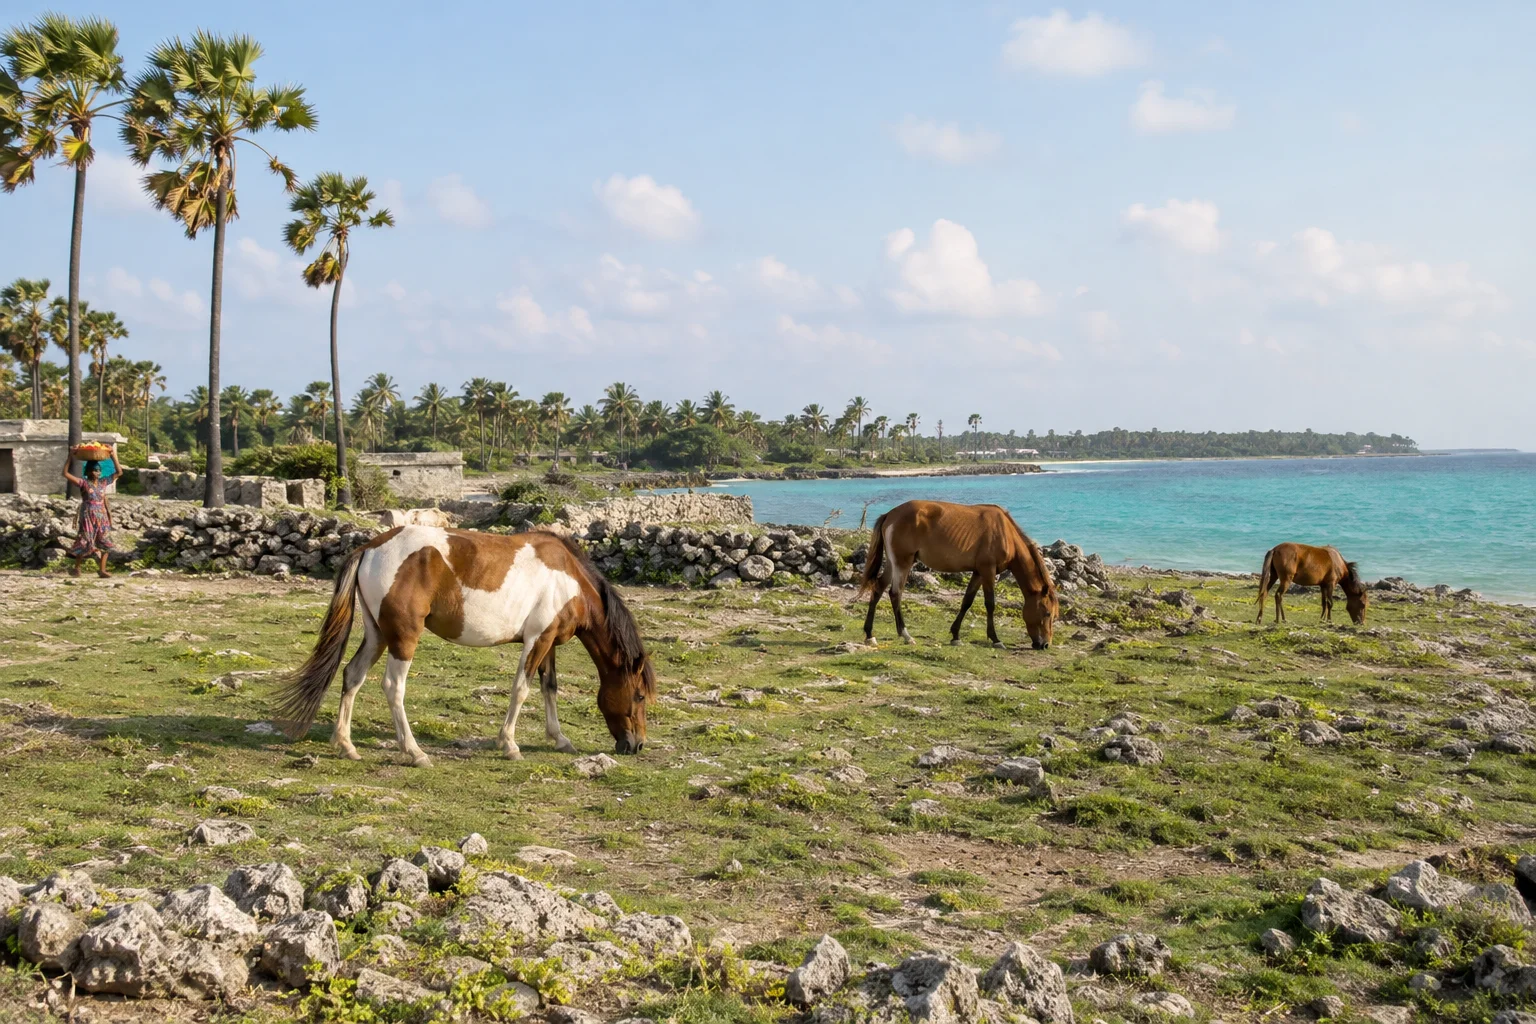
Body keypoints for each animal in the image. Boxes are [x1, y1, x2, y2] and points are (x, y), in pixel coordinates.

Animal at [274, 525, 656, 765]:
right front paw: (509, 745)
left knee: (352, 676)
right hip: (403, 638)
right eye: (638, 696)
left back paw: (346, 745)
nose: (636, 745)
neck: (569, 580)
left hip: (377, 635)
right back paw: (414, 752)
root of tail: (370, 547)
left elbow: (549, 687)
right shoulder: (537, 640)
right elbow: (521, 690)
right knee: (393, 686)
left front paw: (559, 739)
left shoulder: (548, 643)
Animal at [859, 500, 1058, 649]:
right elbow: (990, 604)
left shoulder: (978, 572)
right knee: (895, 593)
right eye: (1047, 613)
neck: (1005, 532)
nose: (1045, 645)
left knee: (878, 589)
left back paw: (869, 634)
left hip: (893, 564)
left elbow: (967, 601)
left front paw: (955, 635)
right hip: (903, 563)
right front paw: (995, 639)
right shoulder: (988, 570)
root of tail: (890, 514)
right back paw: (906, 635)